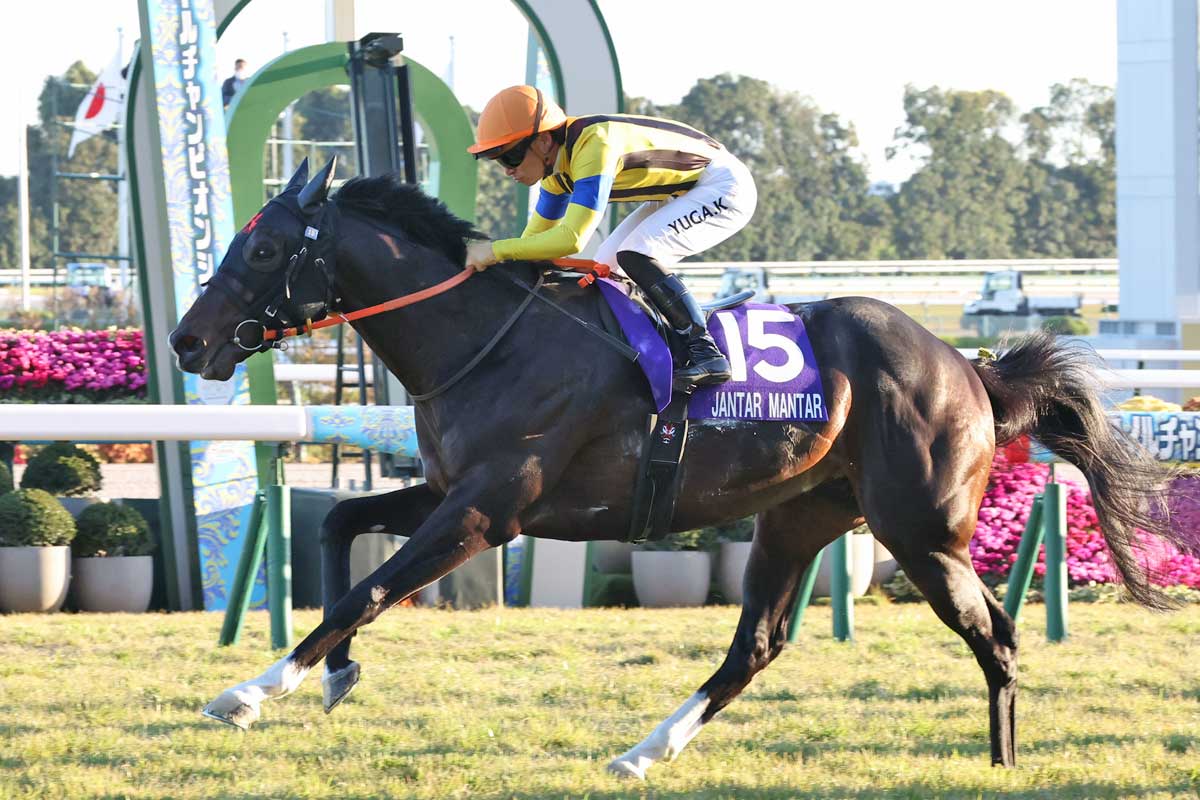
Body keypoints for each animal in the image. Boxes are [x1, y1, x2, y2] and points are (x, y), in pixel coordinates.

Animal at [170, 158, 1193, 777]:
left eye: (264, 245)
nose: (185, 341)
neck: (487, 338)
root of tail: (969, 368)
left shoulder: (490, 509)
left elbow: (369, 588)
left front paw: (249, 693)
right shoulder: (453, 489)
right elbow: (344, 531)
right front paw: (333, 675)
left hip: (921, 532)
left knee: (999, 636)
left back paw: (1001, 761)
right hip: (800, 515)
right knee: (757, 645)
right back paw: (642, 752)